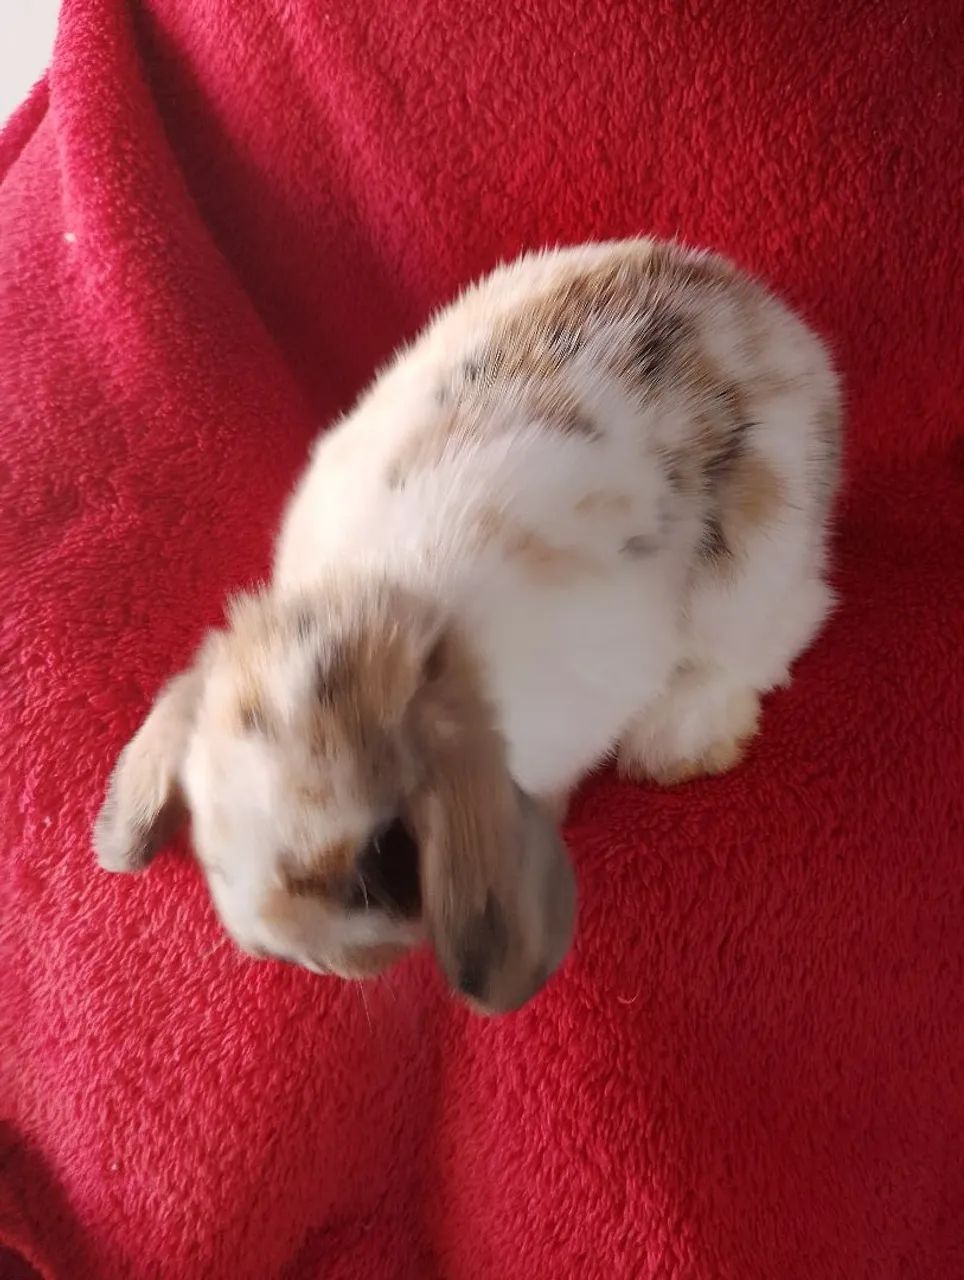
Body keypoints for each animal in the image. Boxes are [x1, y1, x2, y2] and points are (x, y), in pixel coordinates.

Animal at [94, 237, 841, 1013]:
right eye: (206, 814)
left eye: (385, 854)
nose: (296, 956)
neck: (386, 615)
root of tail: (785, 333)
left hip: (751, 574)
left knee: (788, 626)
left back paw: (677, 743)